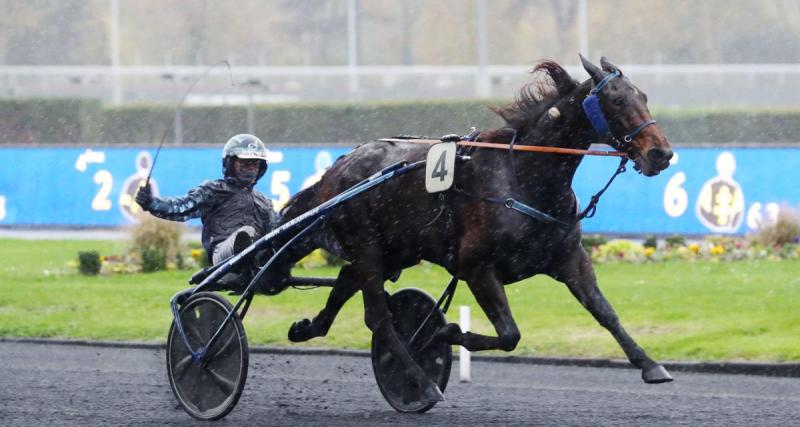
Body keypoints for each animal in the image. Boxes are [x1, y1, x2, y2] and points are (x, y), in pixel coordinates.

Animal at [276, 55, 676, 402]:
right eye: (617, 99)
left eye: (643, 96)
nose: (661, 153)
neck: (523, 178)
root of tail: (338, 166)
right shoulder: (476, 267)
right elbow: (510, 333)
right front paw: (446, 331)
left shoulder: (568, 259)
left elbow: (605, 312)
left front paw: (650, 364)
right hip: (368, 248)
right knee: (379, 318)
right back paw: (422, 383)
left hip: (393, 251)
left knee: (347, 284)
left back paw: (307, 328)